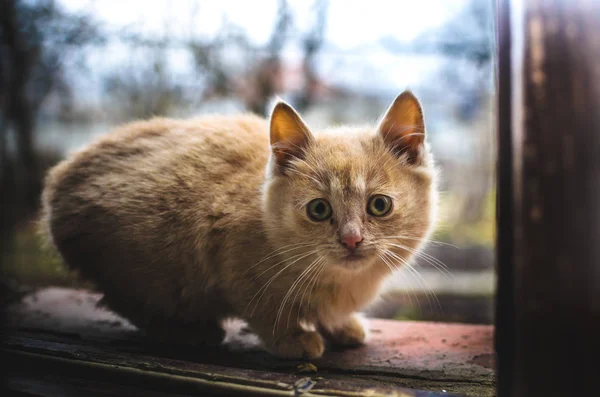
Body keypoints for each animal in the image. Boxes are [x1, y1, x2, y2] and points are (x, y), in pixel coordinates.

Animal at [41, 91, 436, 358]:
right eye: (319, 209)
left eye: (379, 205)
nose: (351, 239)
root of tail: (57, 184)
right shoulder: (229, 259)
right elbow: (265, 311)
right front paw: (292, 339)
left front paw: (341, 325)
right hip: (141, 265)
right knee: (123, 299)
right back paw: (186, 331)